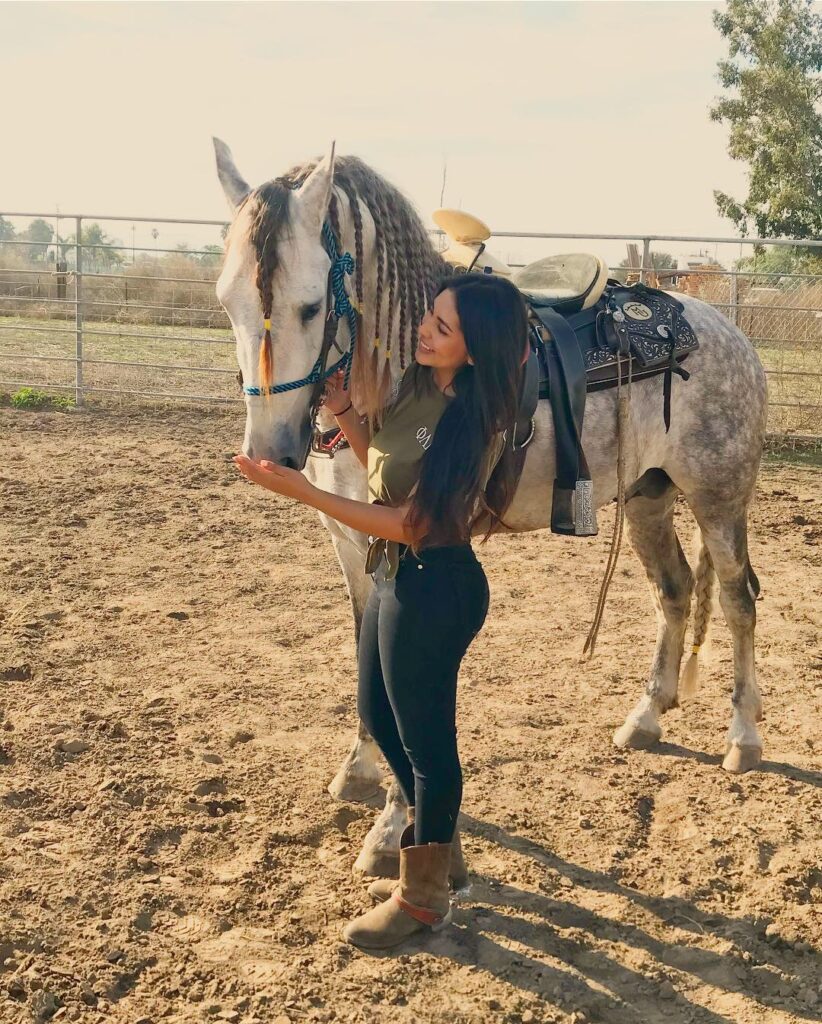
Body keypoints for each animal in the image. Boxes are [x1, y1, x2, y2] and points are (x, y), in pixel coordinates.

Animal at [211, 140, 765, 876]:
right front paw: (358, 769)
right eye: (227, 302)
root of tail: (724, 329)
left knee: (736, 600)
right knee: (673, 592)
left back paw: (743, 737)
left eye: (309, 306)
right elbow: (364, 653)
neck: (401, 377)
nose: (270, 452)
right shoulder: (351, 545)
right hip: (648, 496)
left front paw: (392, 829)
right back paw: (645, 717)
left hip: (719, 499)